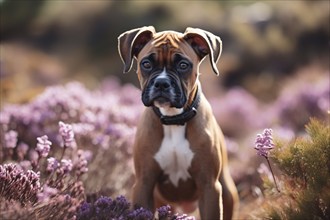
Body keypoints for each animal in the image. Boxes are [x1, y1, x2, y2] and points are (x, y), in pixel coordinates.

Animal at [117, 26, 238, 220]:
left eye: (183, 65)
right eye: (146, 64)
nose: (161, 83)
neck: (173, 120)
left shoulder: (209, 187)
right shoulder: (144, 184)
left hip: (226, 193)